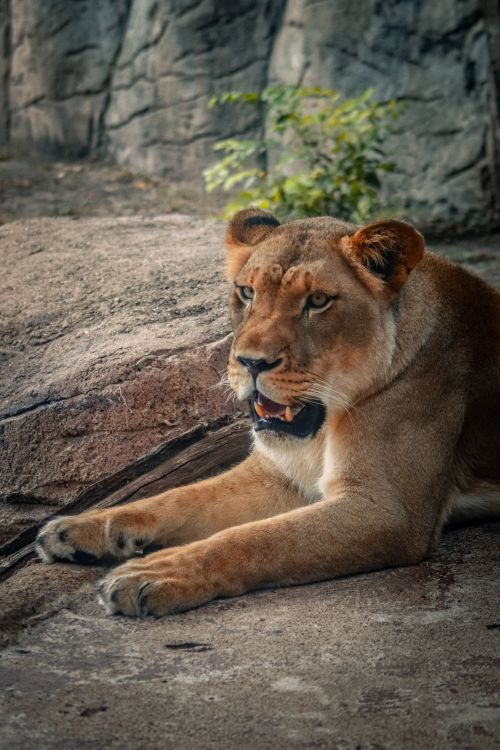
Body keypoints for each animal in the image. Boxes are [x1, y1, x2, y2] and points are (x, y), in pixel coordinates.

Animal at [36, 208, 500, 617]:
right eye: (247, 292)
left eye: (317, 301)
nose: (251, 363)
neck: (322, 428)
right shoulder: (278, 476)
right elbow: (178, 497)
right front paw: (80, 528)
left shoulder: (389, 509)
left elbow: (252, 539)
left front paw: (157, 573)